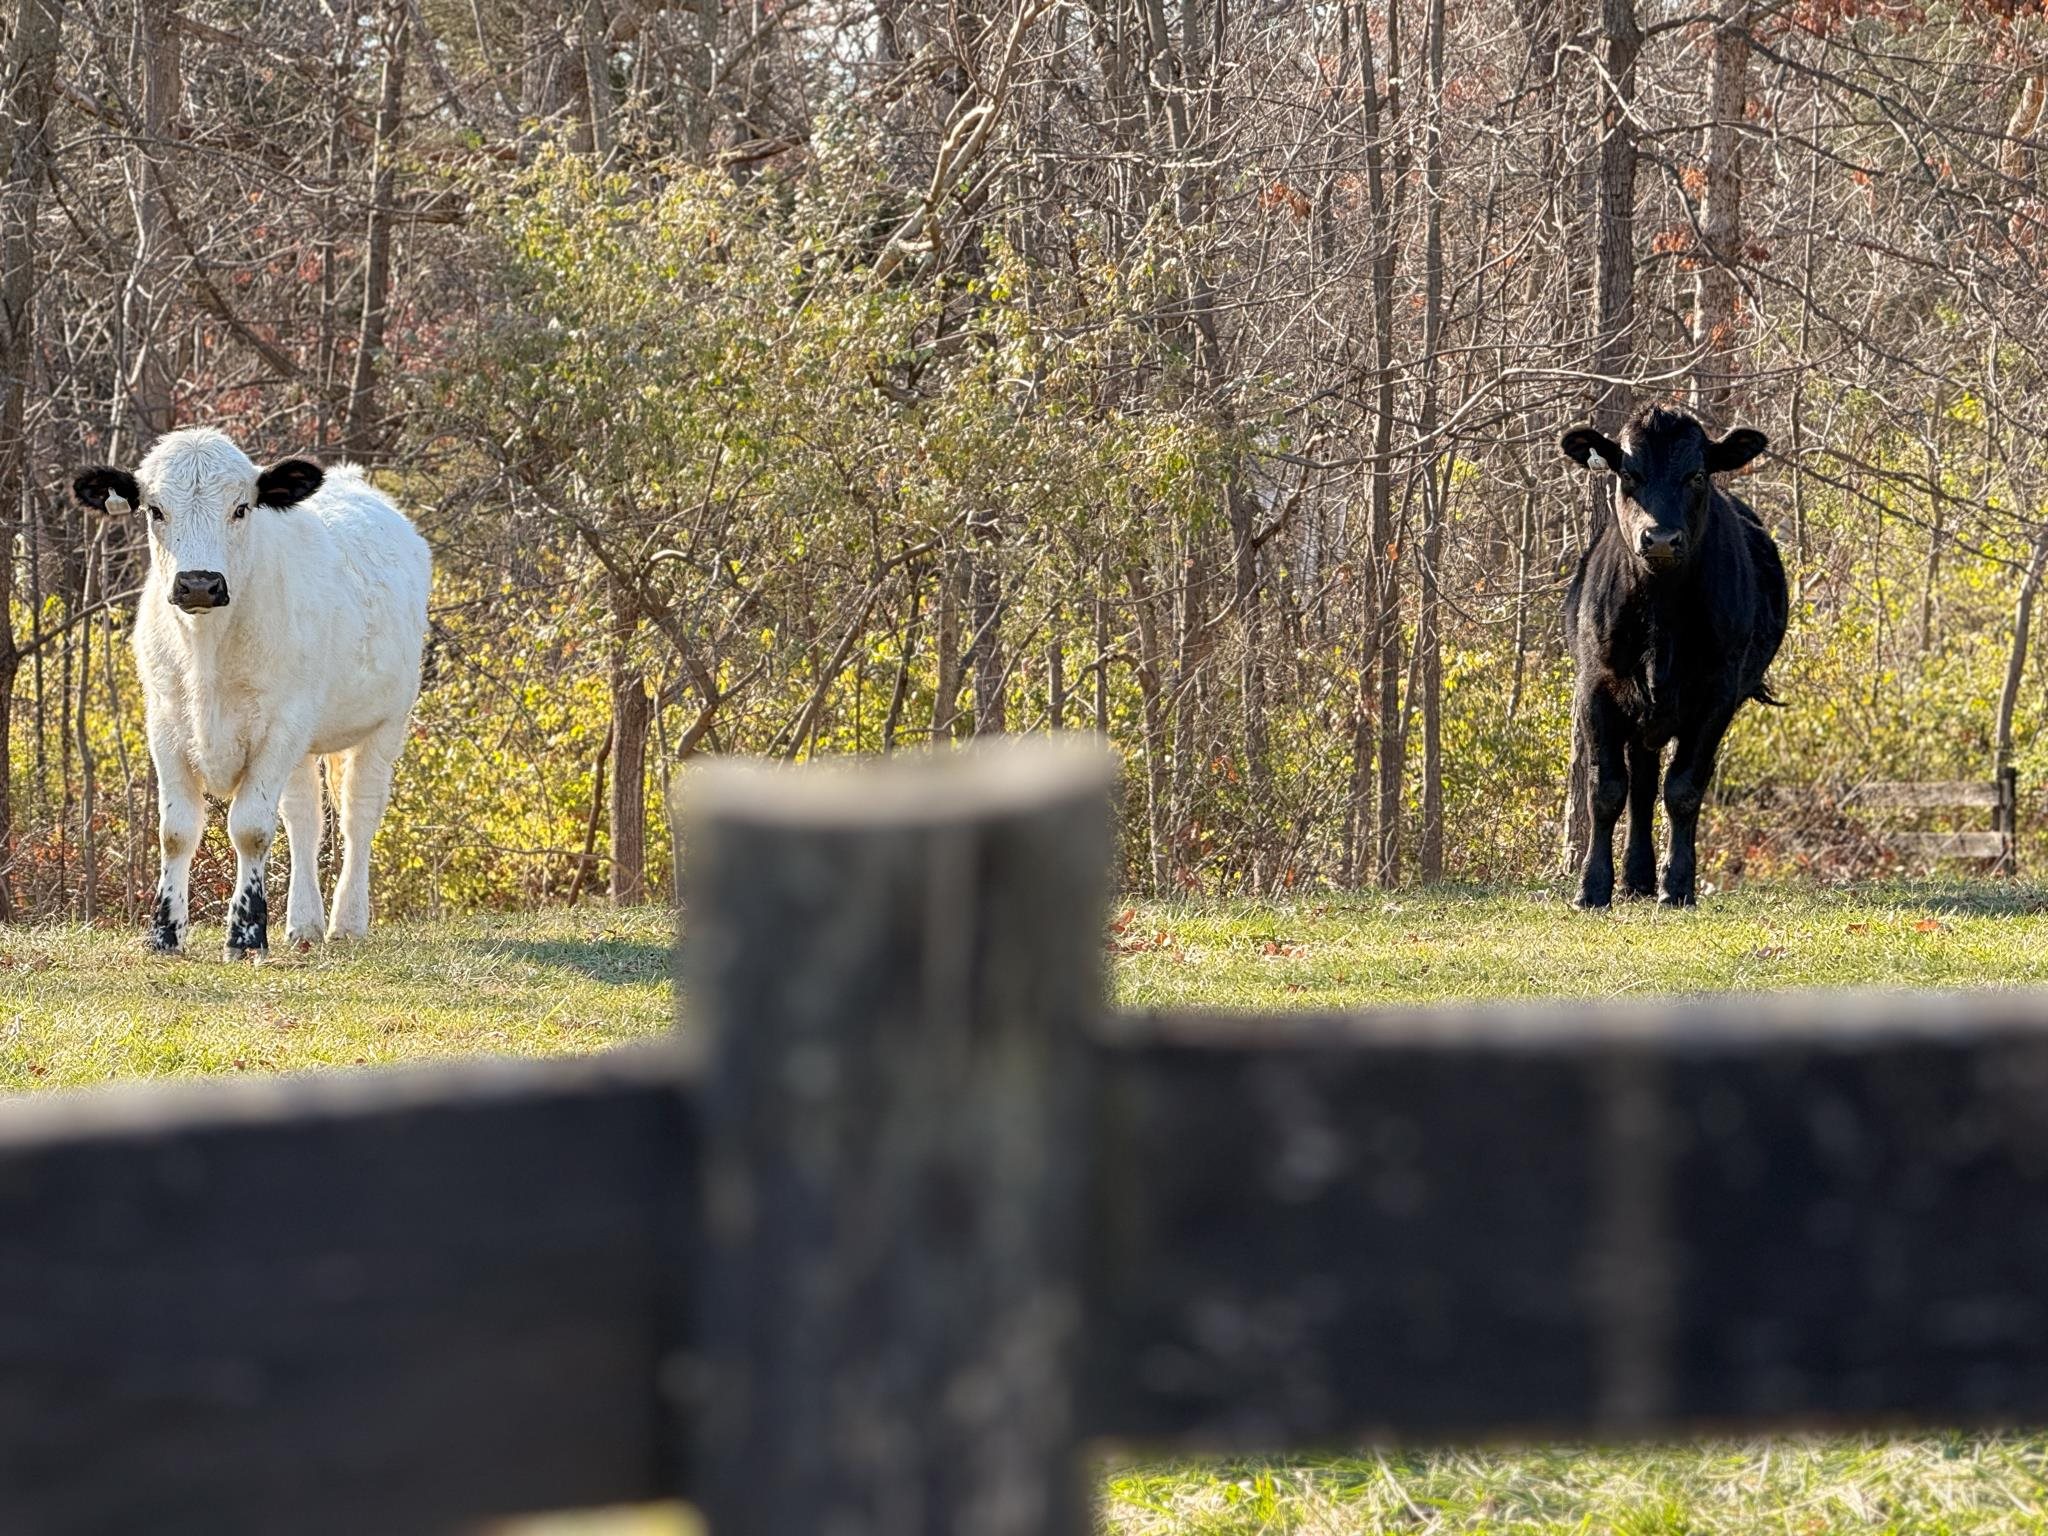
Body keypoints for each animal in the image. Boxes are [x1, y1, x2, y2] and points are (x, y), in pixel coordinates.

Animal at [71, 430, 432, 962]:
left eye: (241, 508)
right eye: (155, 509)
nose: (199, 583)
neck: (206, 655)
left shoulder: (281, 725)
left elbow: (251, 828)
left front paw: (245, 935)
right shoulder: (164, 724)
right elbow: (176, 831)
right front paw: (165, 934)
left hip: (385, 724)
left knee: (357, 815)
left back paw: (347, 922)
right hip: (303, 743)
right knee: (304, 819)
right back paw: (303, 924)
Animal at [1556, 405, 1785, 913]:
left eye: (1697, 474)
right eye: (1628, 473)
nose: (1660, 538)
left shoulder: (1718, 695)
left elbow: (1683, 789)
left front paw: (1678, 884)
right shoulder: (1595, 687)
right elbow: (1605, 789)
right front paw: (1591, 887)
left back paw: (1645, 879)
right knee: (1640, 786)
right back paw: (1634, 878)